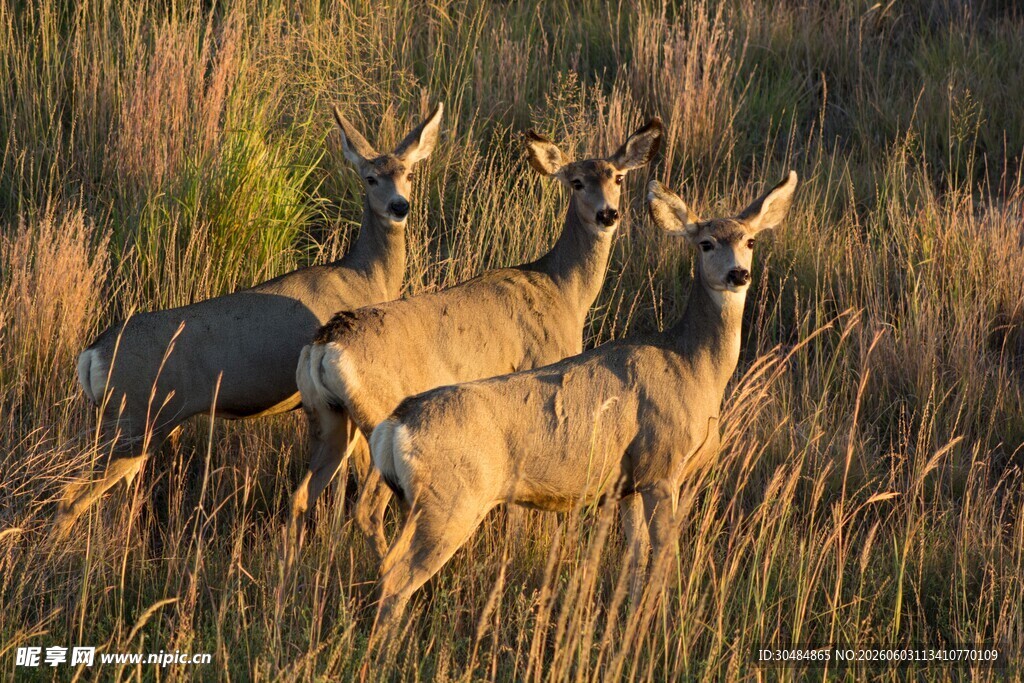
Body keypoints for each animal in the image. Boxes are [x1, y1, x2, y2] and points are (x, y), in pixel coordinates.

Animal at [55, 102, 444, 537]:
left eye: (408, 174)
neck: (362, 277)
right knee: (70, 496)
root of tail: (92, 354)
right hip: (136, 419)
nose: (399, 206)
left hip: (122, 424)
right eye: (370, 177)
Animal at [290, 119, 664, 557]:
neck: (562, 289)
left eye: (617, 177)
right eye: (576, 182)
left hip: (327, 416)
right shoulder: (540, 372)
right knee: (366, 509)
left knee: (303, 495)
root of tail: (324, 344)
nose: (608, 214)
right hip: (376, 416)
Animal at [365, 172, 798, 632]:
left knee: (387, 564)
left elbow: (635, 557)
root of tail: (396, 423)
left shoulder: (627, 483)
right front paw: (657, 626)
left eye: (750, 240)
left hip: (422, 503)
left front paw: (627, 617)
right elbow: (665, 557)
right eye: (706, 243)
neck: (691, 364)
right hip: (451, 500)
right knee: (398, 576)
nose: (738, 274)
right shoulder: (662, 466)